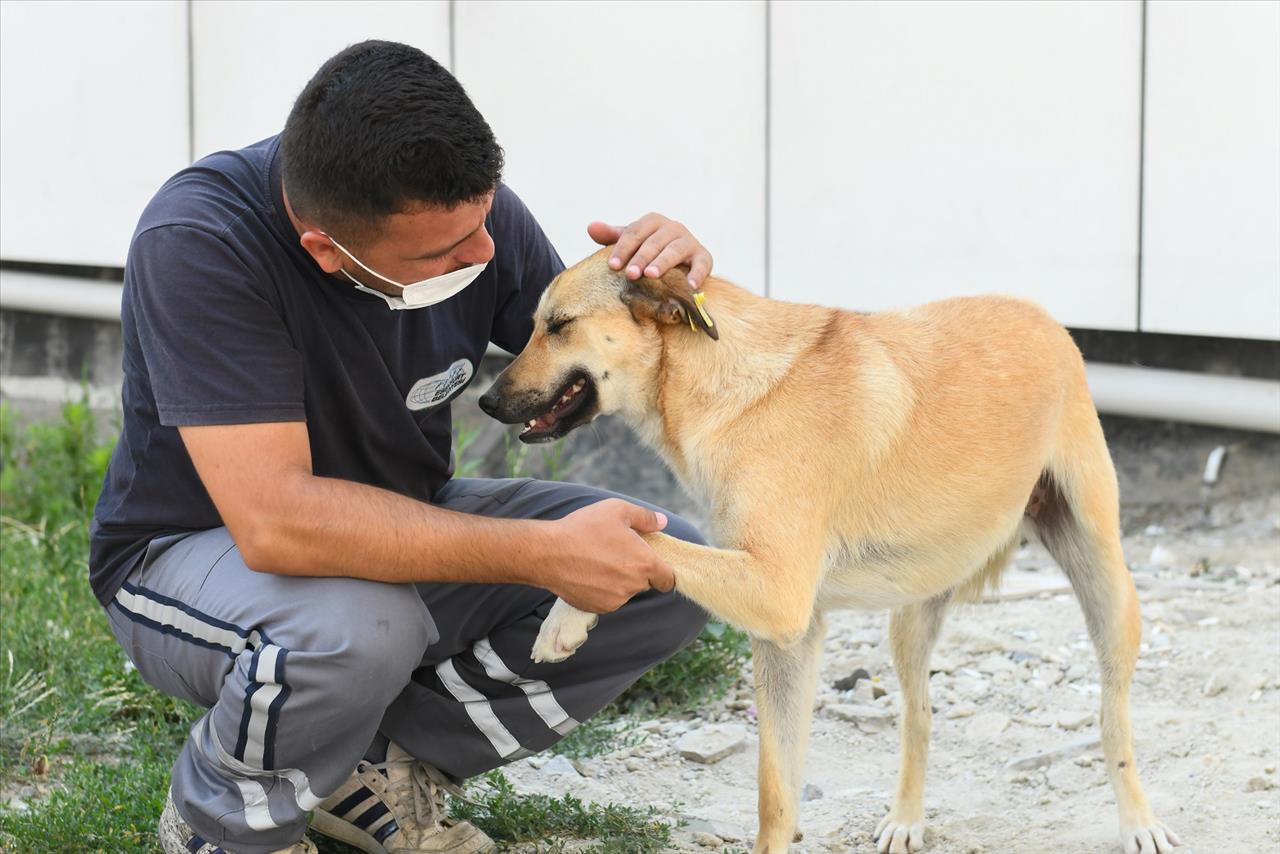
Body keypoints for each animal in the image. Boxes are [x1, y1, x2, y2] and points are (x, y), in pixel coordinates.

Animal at [478, 248, 1177, 854]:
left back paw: (1139, 823)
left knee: (1113, 718)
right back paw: (906, 819)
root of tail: (1040, 314)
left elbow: (641, 536)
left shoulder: (776, 595)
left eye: (559, 326)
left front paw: (565, 618)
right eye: (535, 324)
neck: (728, 388)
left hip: (1106, 588)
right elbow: (776, 790)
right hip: (912, 616)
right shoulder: (789, 633)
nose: (485, 400)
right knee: (919, 717)